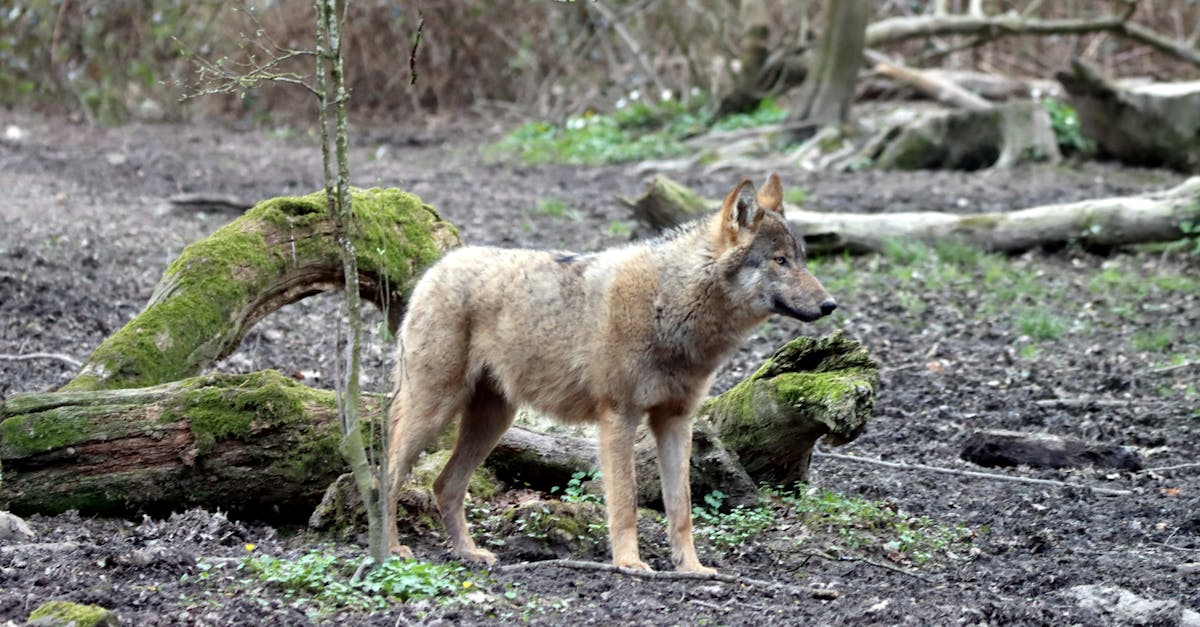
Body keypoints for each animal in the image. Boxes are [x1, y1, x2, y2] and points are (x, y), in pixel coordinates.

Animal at [384, 174, 836, 573]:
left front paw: (692, 568)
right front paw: (629, 564)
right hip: (435, 410)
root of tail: (436, 267)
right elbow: (625, 504)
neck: (671, 303)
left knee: (444, 485)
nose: (830, 304)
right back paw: (390, 549)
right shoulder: (619, 416)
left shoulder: (677, 421)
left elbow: (682, 509)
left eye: (802, 259)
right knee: (386, 475)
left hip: (493, 420)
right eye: (780, 261)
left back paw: (469, 553)